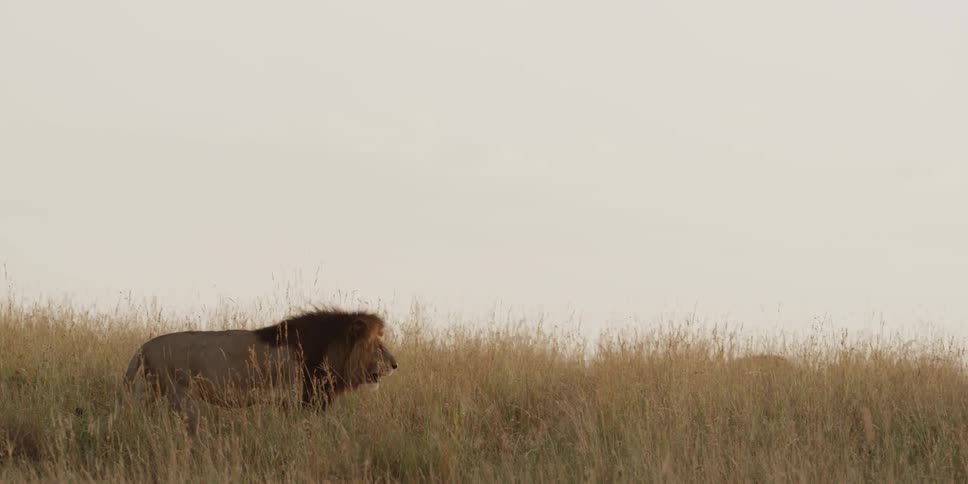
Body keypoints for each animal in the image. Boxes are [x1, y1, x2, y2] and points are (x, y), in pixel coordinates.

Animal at [120, 308, 397, 433]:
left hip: (154, 389)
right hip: (181, 395)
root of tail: (144, 346)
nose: (395, 364)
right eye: (377, 344)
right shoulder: (301, 399)